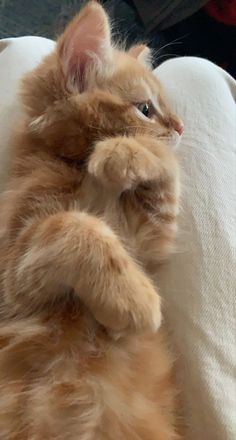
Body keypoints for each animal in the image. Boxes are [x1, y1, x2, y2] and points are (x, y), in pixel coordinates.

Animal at [0, 1, 183, 438]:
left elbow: (167, 171)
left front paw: (123, 153)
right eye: (146, 109)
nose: (182, 127)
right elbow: (75, 224)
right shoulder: (13, 278)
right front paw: (137, 302)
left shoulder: (150, 239)